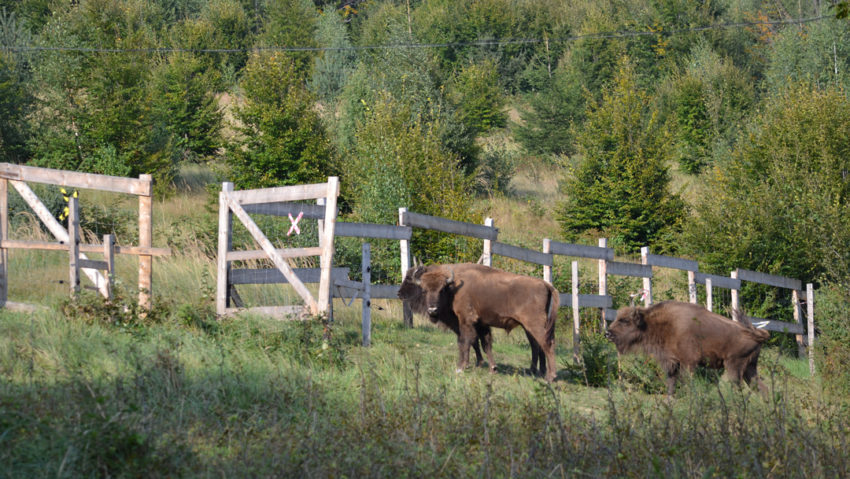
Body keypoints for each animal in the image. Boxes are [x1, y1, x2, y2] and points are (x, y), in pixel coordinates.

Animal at [396, 262, 556, 382]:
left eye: (441, 290)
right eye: (424, 290)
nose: (432, 309)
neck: (453, 287)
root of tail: (546, 285)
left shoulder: (465, 320)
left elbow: (465, 342)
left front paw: (461, 367)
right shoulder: (481, 324)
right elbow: (484, 344)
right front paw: (491, 368)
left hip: (534, 325)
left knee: (546, 344)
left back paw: (549, 376)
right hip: (529, 327)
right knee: (537, 346)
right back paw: (536, 372)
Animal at [604, 302, 768, 396]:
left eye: (625, 321)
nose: (607, 333)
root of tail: (754, 334)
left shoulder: (688, 363)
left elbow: (685, 382)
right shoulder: (673, 364)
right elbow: (671, 385)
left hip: (734, 366)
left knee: (738, 387)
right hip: (749, 368)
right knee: (759, 387)